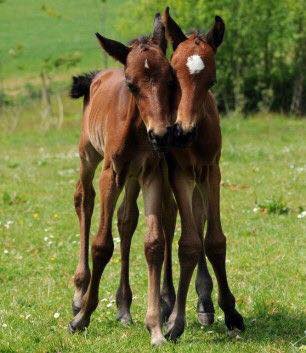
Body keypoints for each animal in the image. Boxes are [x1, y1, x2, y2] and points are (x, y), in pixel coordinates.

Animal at [69, 15, 175, 344]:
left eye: (171, 77)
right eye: (131, 84)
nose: (161, 135)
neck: (140, 129)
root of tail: (98, 75)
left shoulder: (152, 173)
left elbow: (153, 243)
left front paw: (155, 327)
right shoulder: (112, 173)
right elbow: (102, 245)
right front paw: (82, 317)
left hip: (133, 177)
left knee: (126, 219)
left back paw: (124, 307)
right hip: (89, 155)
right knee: (84, 200)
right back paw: (78, 293)